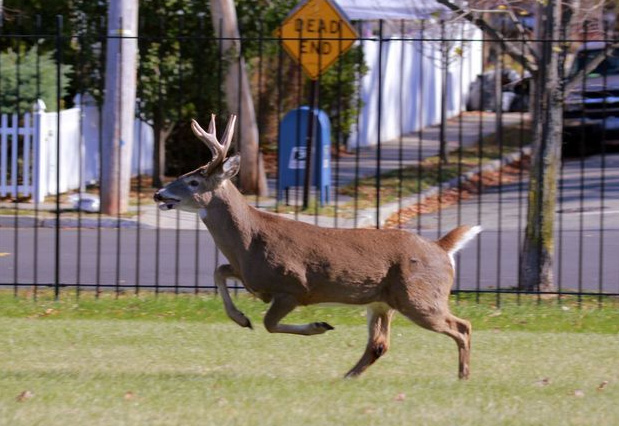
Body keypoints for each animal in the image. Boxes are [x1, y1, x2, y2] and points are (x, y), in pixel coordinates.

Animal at [153, 114, 482, 380]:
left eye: (194, 182)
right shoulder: (251, 277)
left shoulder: (293, 286)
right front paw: (241, 319)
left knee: (462, 326)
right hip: (383, 301)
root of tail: (442, 248)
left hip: (418, 297)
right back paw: (347, 376)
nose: (158, 193)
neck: (250, 240)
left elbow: (269, 323)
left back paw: (463, 377)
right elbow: (219, 271)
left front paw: (319, 325)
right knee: (379, 344)